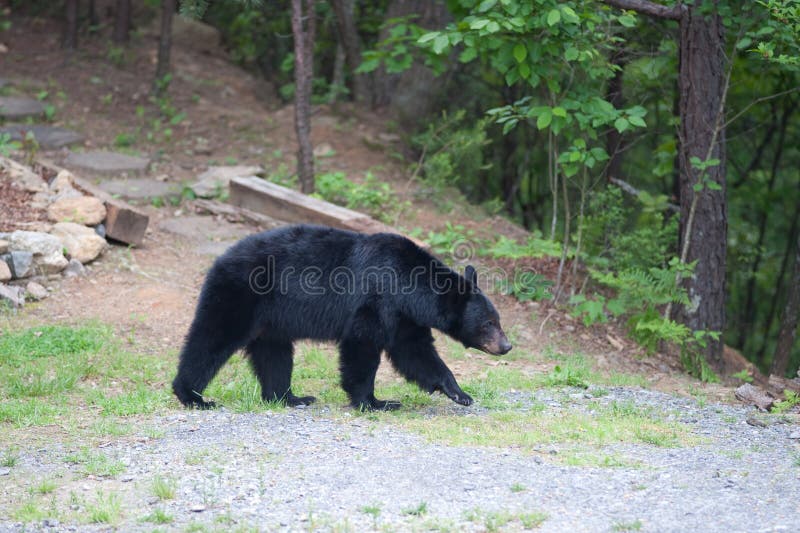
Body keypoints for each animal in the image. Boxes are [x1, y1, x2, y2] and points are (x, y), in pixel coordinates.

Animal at [173, 222, 512, 410]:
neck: (410, 285)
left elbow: (415, 353)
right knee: (212, 338)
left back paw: (290, 397)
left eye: (498, 320)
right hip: (239, 294)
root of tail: (220, 259)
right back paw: (192, 396)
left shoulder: (405, 317)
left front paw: (459, 393)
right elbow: (362, 347)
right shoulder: (377, 300)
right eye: (489, 323)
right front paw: (375, 402)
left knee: (274, 355)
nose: (506, 346)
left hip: (271, 319)